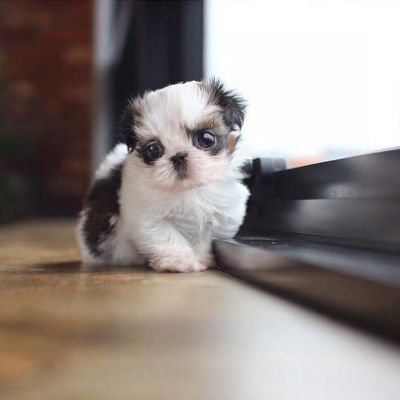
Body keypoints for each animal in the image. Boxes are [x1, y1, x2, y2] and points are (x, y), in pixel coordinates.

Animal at [76, 78, 248, 272]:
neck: (187, 188)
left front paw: (200, 258)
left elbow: (204, 238)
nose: (178, 156)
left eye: (206, 139)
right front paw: (179, 261)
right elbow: (166, 236)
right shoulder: (146, 215)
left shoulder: (222, 214)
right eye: (153, 150)